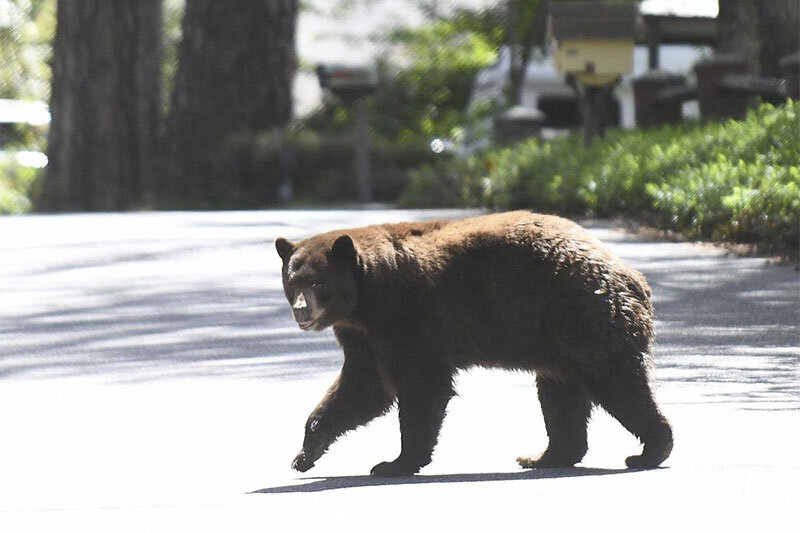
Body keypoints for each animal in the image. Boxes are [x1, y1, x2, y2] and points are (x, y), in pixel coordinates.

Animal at [276, 210, 676, 476]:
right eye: (293, 281)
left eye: (319, 282)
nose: (301, 310)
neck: (368, 298)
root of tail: (631, 275)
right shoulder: (362, 335)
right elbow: (362, 388)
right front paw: (305, 453)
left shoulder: (409, 318)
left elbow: (421, 387)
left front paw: (394, 462)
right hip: (557, 337)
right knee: (562, 395)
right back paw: (545, 456)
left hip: (583, 313)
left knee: (616, 382)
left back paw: (650, 449)